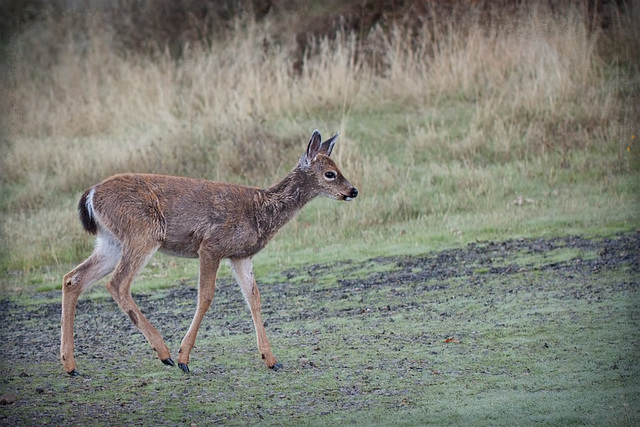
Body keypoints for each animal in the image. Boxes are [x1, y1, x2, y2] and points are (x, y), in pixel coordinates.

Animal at [62, 129, 358, 376]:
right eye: (330, 173)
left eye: (338, 168)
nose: (353, 190)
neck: (261, 211)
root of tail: (90, 194)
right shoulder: (211, 245)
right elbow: (205, 297)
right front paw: (184, 359)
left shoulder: (240, 255)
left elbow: (254, 298)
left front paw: (271, 359)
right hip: (143, 233)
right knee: (117, 283)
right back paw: (165, 354)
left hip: (110, 241)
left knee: (73, 278)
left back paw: (70, 365)